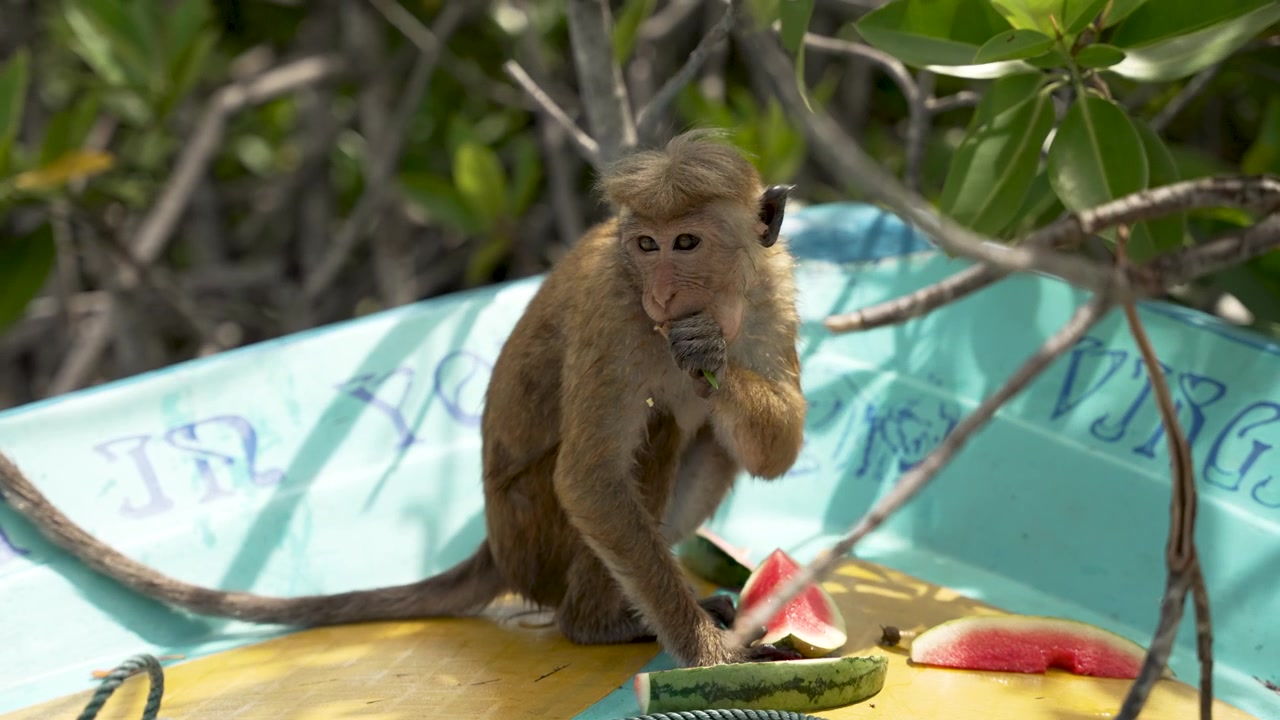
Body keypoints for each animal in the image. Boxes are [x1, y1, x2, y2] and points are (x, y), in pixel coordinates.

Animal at [0, 129, 808, 668]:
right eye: (648, 246)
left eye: (686, 243)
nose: (665, 295)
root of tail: (495, 545)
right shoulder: (617, 311)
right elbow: (588, 480)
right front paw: (711, 656)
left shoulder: (773, 287)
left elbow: (777, 450)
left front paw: (711, 357)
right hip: (534, 533)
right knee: (656, 430)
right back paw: (598, 623)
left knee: (708, 440)